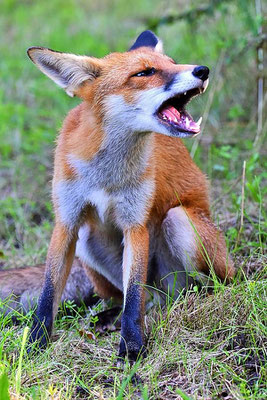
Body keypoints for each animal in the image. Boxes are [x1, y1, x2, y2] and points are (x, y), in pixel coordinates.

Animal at [24, 30, 234, 360]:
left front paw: (132, 347)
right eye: (144, 73)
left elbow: (134, 296)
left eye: (173, 62)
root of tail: (163, 290)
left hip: (181, 224)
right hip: (86, 239)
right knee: (134, 298)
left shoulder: (134, 223)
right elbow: (48, 292)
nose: (203, 70)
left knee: (197, 288)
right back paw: (108, 316)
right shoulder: (67, 221)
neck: (105, 176)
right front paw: (35, 343)